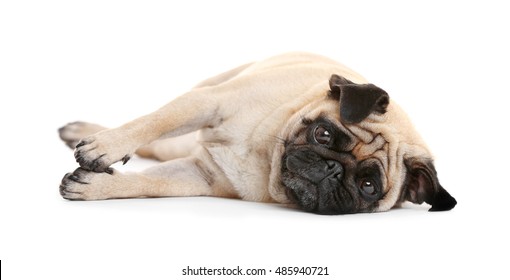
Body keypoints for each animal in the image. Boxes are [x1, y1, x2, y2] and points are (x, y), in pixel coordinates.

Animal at [57, 53, 456, 214]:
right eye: (323, 135)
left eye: (368, 186)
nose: (332, 169)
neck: (266, 156)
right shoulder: (207, 102)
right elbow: (152, 122)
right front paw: (105, 147)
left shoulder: (199, 175)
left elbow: (149, 183)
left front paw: (97, 186)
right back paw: (90, 132)